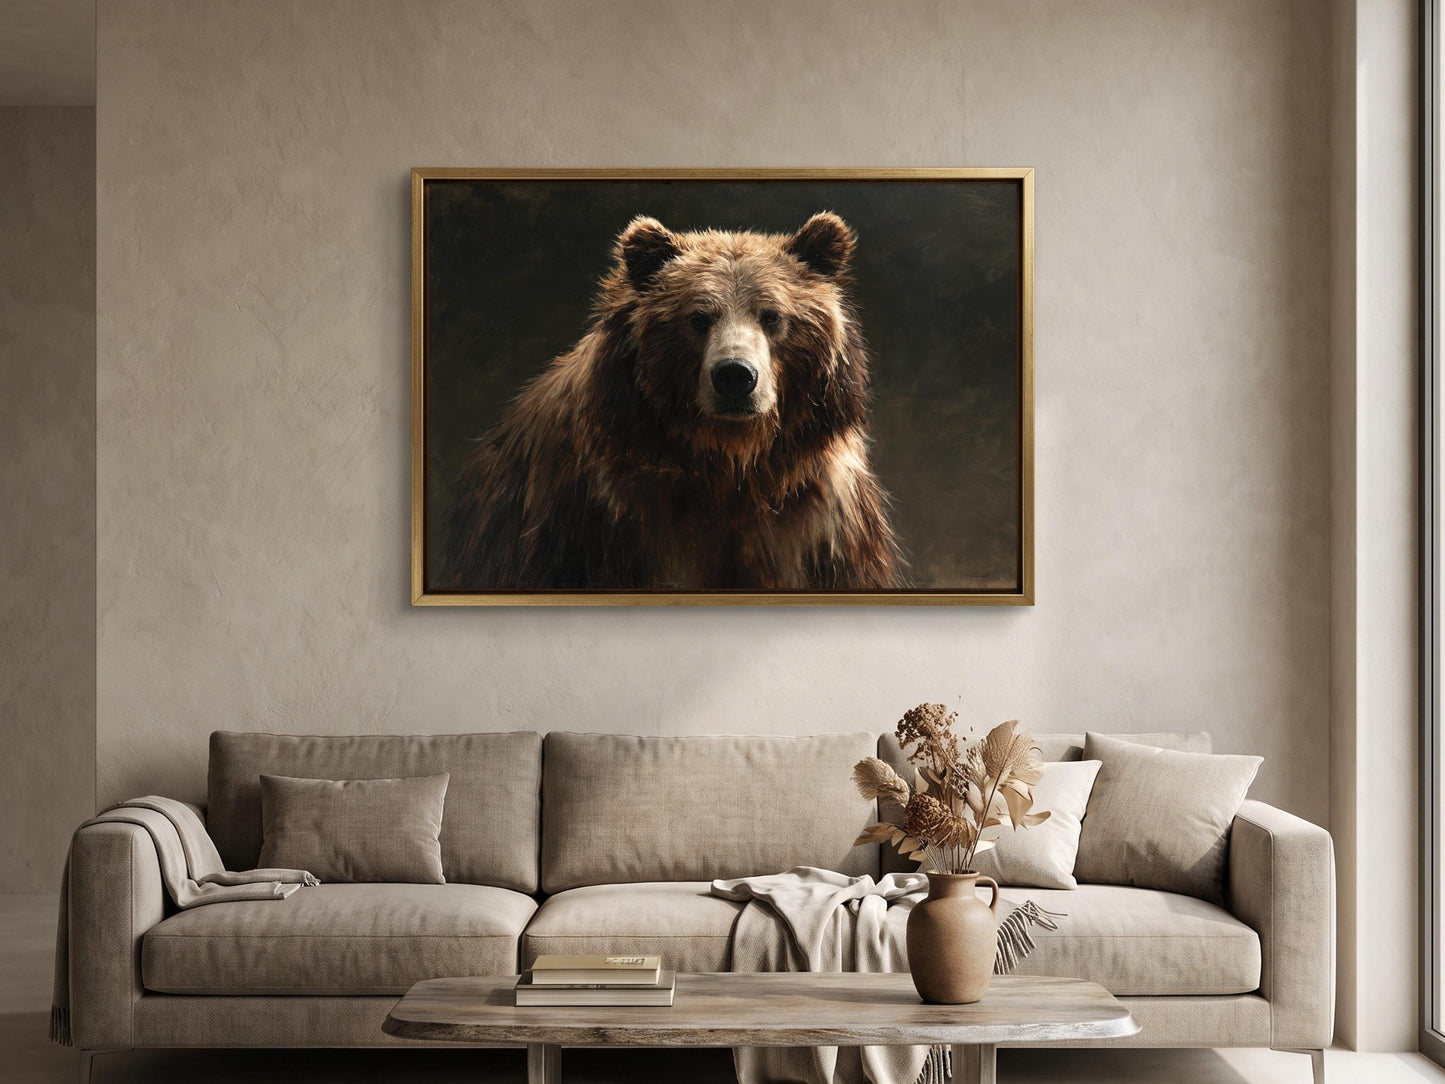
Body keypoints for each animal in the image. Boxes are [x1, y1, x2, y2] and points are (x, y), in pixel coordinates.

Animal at [438, 211, 902, 592]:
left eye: (771, 315)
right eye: (697, 318)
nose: (735, 376)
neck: (726, 462)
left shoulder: (818, 525)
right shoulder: (602, 522)